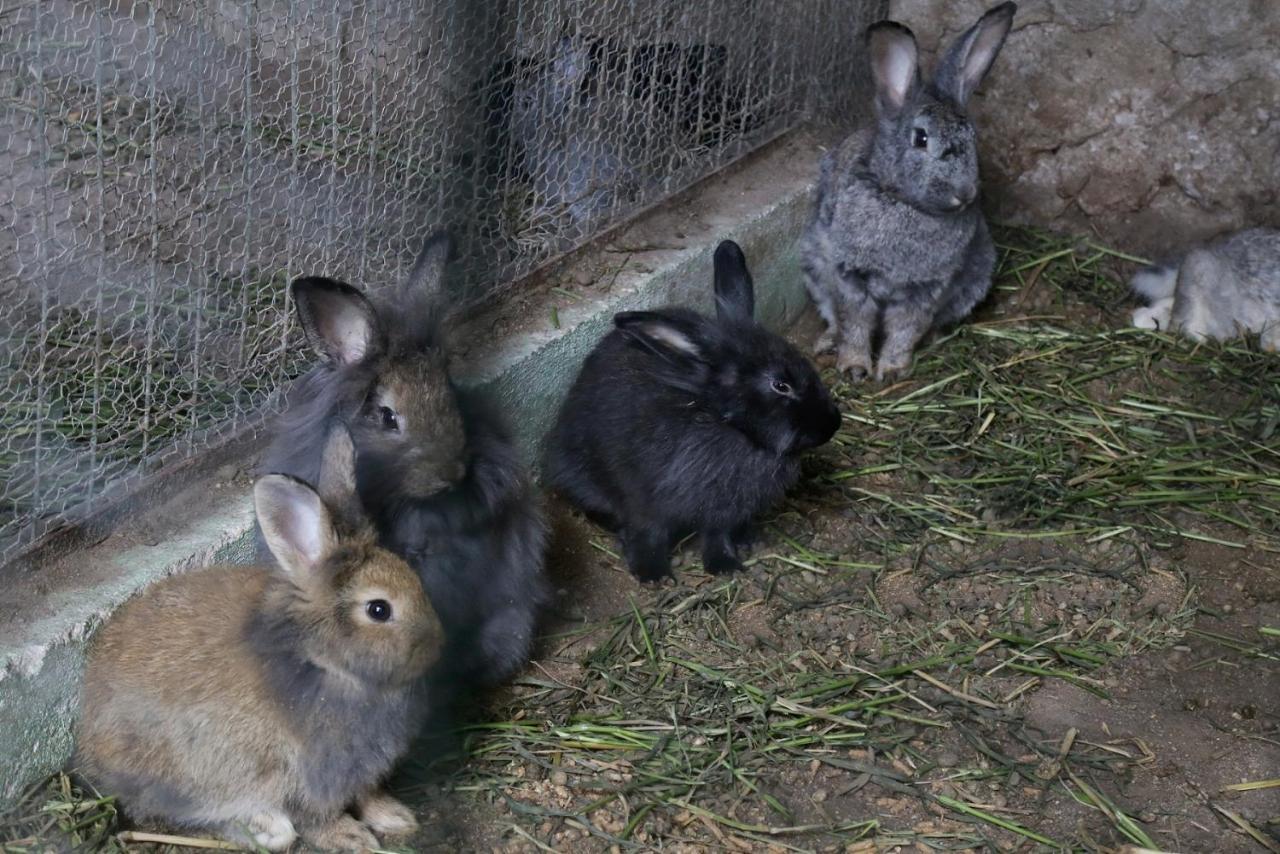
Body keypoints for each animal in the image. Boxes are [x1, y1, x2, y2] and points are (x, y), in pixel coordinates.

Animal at [76, 425, 445, 850]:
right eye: (379, 610)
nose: (438, 644)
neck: (319, 660)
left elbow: (368, 795)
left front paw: (395, 817)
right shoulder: (303, 776)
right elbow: (317, 817)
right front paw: (352, 838)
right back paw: (265, 828)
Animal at [542, 240, 834, 581]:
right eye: (780, 385)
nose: (833, 425)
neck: (727, 425)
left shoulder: (721, 512)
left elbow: (717, 535)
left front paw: (725, 566)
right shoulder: (645, 500)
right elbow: (648, 532)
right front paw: (652, 574)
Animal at [798, 0, 1018, 381]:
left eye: (973, 138)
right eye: (921, 138)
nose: (965, 193)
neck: (903, 201)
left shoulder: (926, 289)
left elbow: (905, 329)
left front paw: (892, 370)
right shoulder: (850, 276)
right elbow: (854, 323)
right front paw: (855, 368)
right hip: (814, 263)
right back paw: (827, 342)